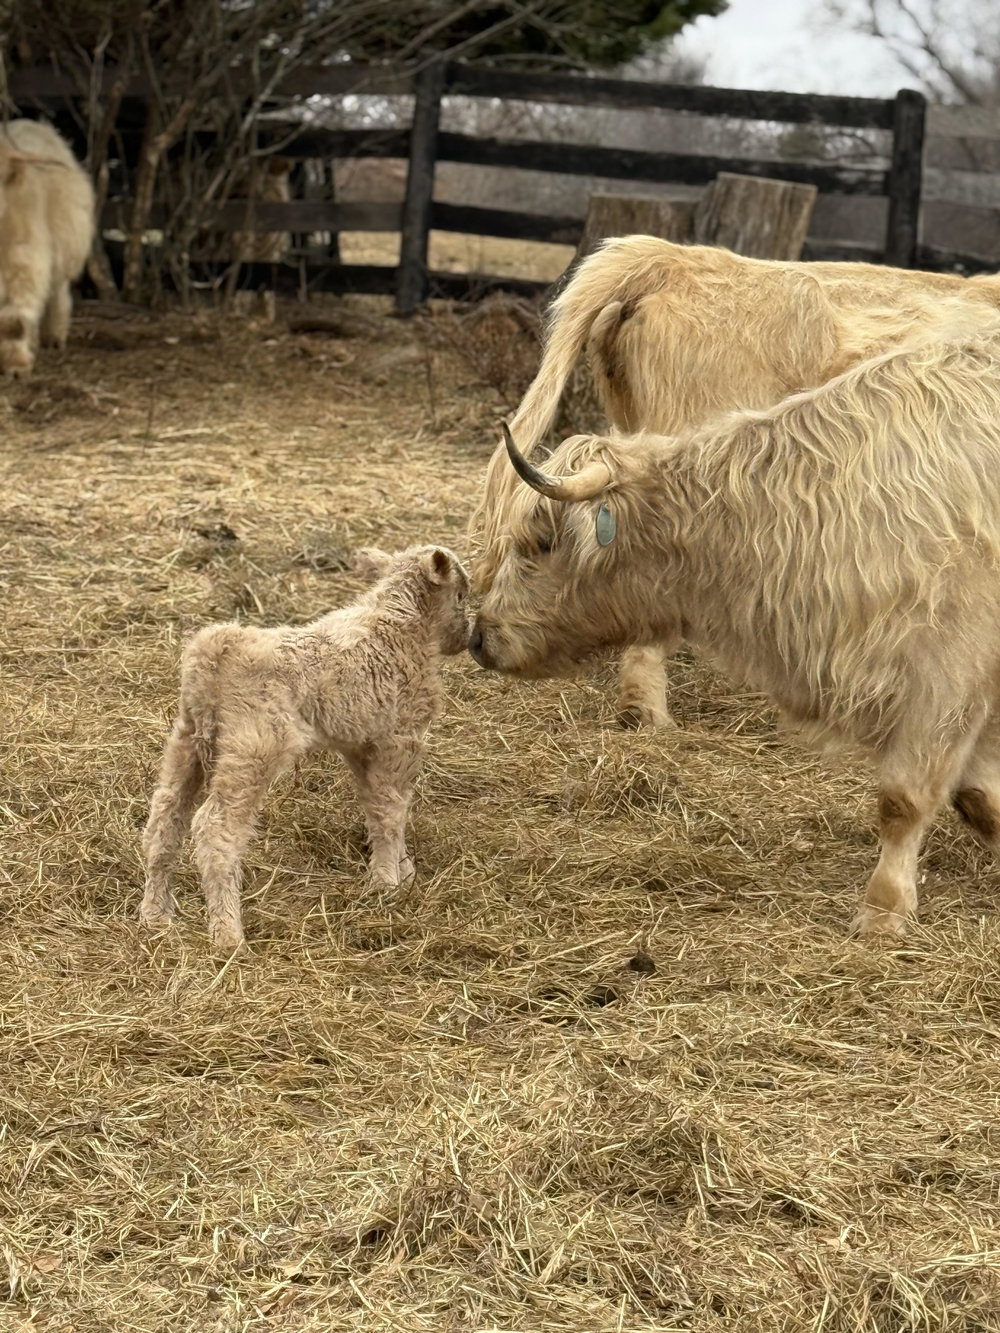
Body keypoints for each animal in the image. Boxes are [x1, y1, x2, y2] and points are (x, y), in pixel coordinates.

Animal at [470, 325, 1000, 936]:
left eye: (541, 541)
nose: (479, 636)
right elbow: (979, 793)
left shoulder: (945, 673)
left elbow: (905, 798)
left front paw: (884, 909)